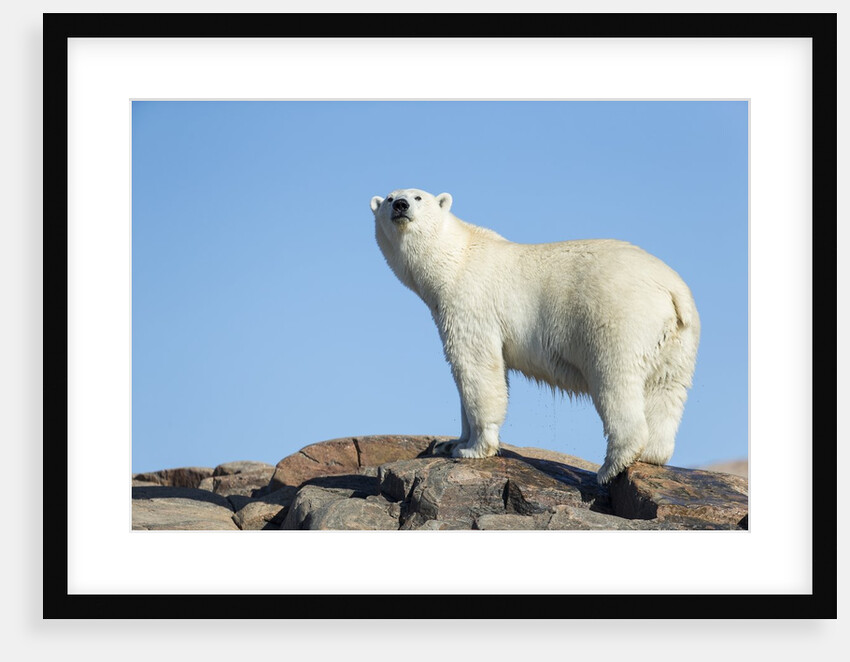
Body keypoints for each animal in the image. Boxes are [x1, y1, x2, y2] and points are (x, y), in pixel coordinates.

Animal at [370, 188, 700, 485]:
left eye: (417, 197)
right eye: (389, 198)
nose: (400, 206)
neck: (454, 259)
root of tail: (673, 290)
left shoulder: (470, 303)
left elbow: (476, 368)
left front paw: (474, 449)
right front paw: (452, 443)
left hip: (619, 317)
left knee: (615, 381)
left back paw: (610, 467)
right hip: (677, 338)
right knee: (666, 389)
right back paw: (653, 454)